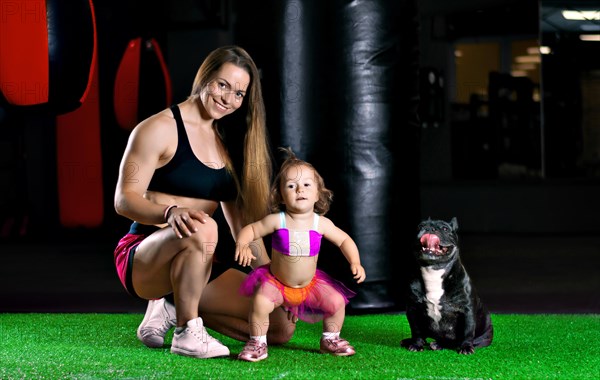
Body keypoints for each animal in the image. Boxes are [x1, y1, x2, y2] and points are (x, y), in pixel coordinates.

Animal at [404, 218, 492, 354]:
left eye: (445, 229)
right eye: (420, 226)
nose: (429, 228)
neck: (433, 270)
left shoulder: (467, 310)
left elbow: (468, 331)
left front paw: (466, 347)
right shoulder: (413, 308)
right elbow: (416, 330)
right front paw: (416, 344)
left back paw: (440, 344)